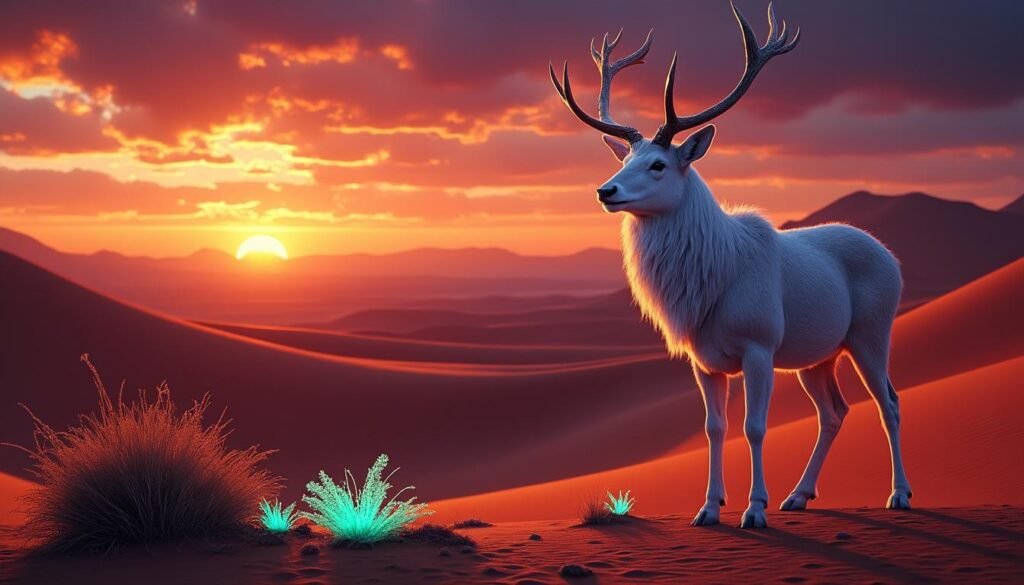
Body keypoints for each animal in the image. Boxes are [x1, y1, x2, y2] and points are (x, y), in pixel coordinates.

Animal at [549, 3, 912, 528]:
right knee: (834, 411)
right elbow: (714, 427)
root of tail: (893, 258)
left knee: (889, 402)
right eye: (627, 159)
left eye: (658, 164)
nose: (605, 190)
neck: (710, 277)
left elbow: (755, 426)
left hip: (870, 333)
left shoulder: (758, 346)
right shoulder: (703, 361)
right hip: (817, 355)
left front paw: (754, 508)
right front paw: (708, 507)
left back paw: (898, 493)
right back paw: (799, 495)